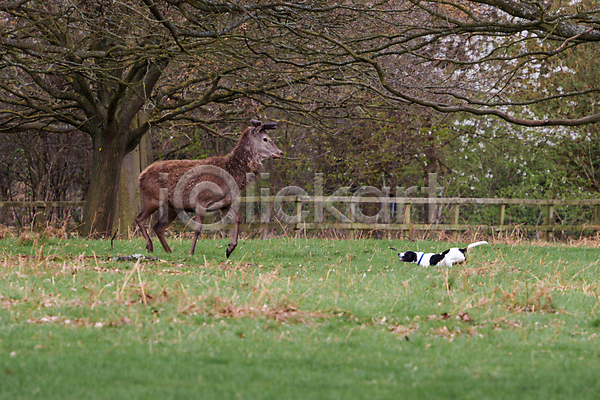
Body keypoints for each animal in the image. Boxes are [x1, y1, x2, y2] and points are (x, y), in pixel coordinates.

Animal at [135, 119, 284, 256]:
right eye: (265, 139)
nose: (281, 153)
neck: (231, 176)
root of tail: (141, 176)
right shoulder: (201, 200)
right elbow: (197, 229)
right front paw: (191, 252)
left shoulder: (224, 203)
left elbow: (237, 218)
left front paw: (230, 248)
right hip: (151, 198)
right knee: (139, 218)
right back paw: (150, 246)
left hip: (172, 207)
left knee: (158, 227)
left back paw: (168, 251)